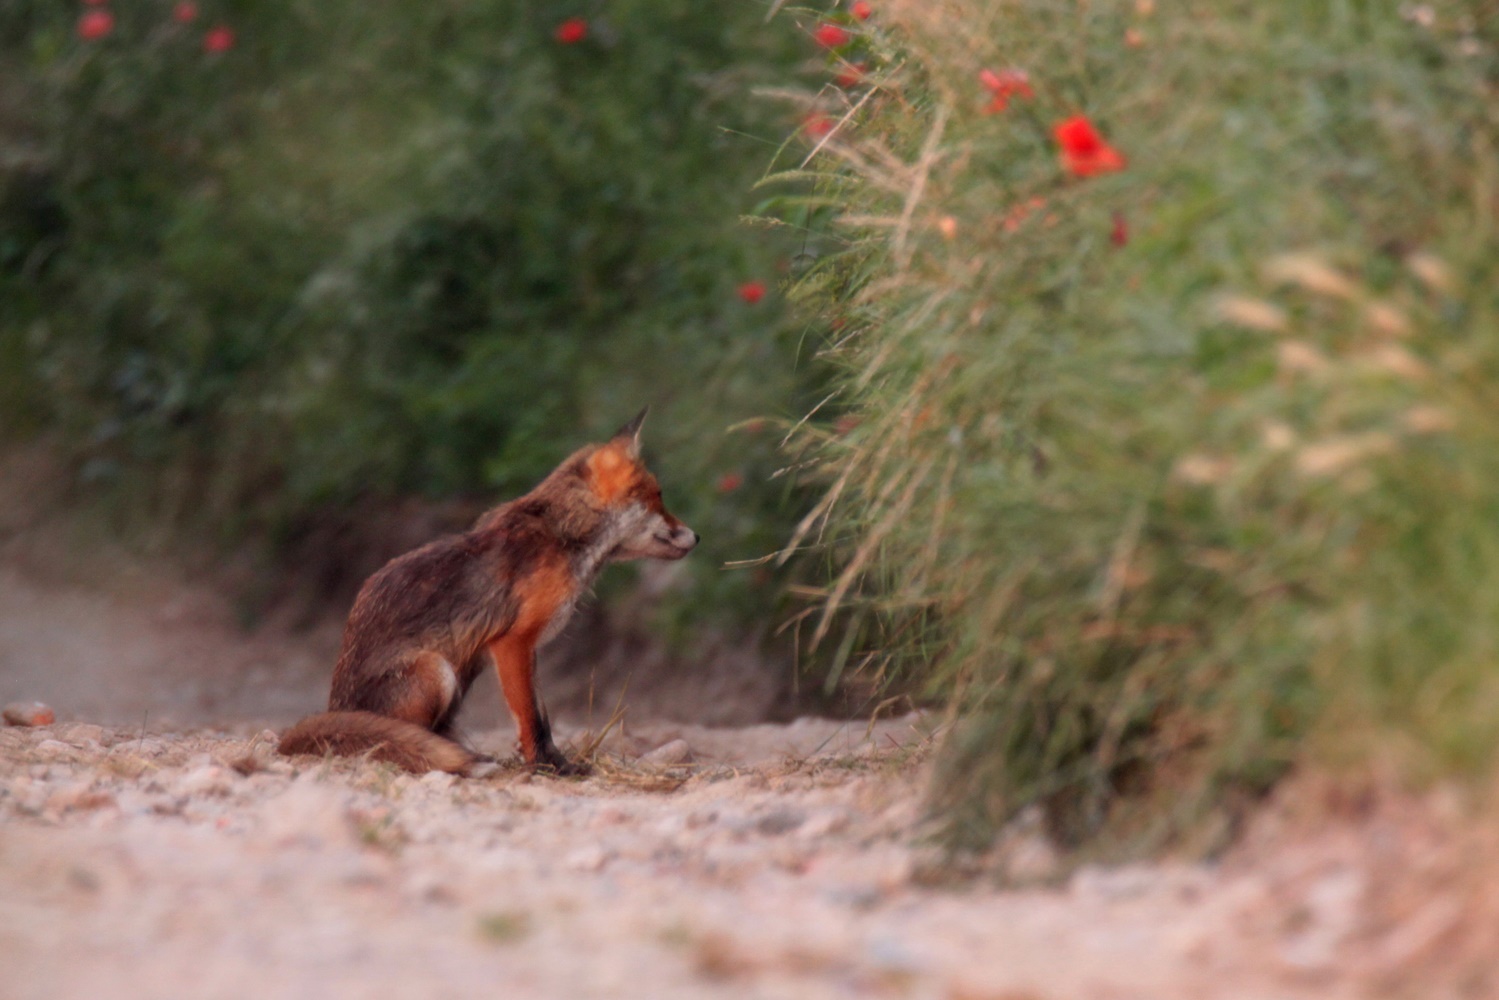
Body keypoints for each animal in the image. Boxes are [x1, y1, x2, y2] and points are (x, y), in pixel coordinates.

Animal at [278, 410, 698, 779]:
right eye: (658, 496)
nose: (696, 537)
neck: (561, 537)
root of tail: (336, 706)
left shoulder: (527, 650)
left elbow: (542, 717)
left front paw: (554, 765)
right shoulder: (512, 642)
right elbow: (532, 721)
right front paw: (549, 770)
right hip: (437, 671)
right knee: (395, 738)